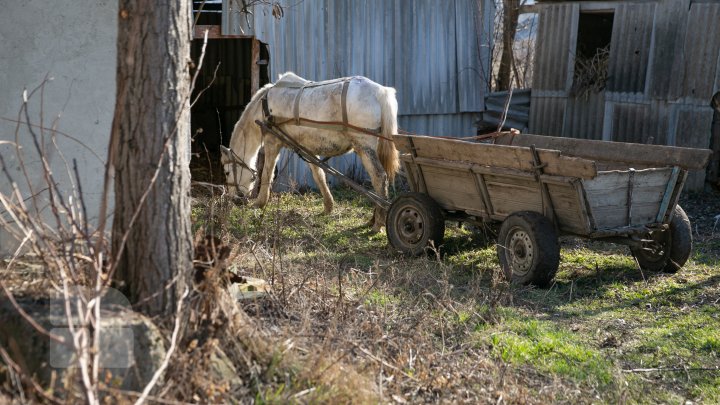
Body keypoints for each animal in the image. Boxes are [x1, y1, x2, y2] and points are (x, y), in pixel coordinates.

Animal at [219, 72, 400, 230]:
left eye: (227, 172)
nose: (233, 200)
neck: (264, 106)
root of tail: (380, 91)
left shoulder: (272, 142)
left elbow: (267, 174)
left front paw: (259, 203)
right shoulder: (306, 148)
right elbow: (319, 175)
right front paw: (328, 206)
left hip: (364, 146)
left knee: (379, 177)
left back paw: (378, 223)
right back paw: (374, 219)